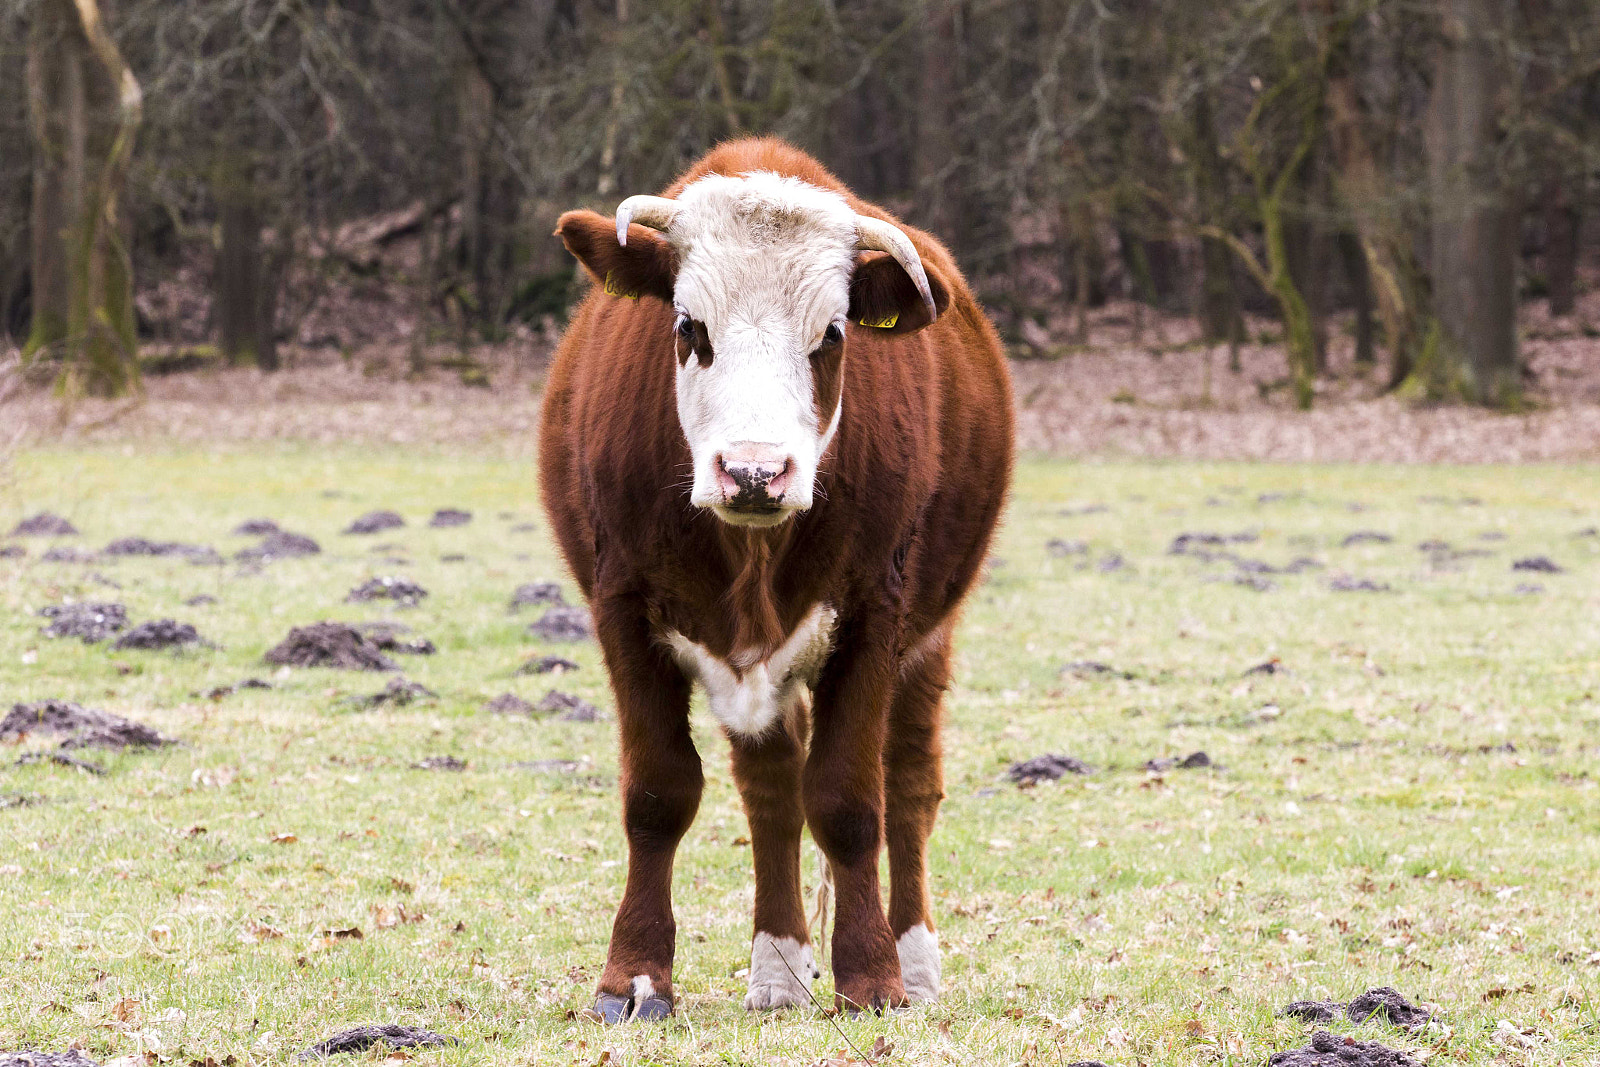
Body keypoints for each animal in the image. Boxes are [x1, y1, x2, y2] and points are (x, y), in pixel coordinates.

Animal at [540, 137, 1013, 1021]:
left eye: (830, 333)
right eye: (688, 327)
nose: (755, 471)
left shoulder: (874, 617)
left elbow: (850, 800)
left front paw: (871, 975)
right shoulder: (620, 608)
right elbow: (659, 792)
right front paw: (635, 975)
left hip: (928, 641)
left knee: (908, 786)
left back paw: (913, 957)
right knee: (771, 789)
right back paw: (779, 965)